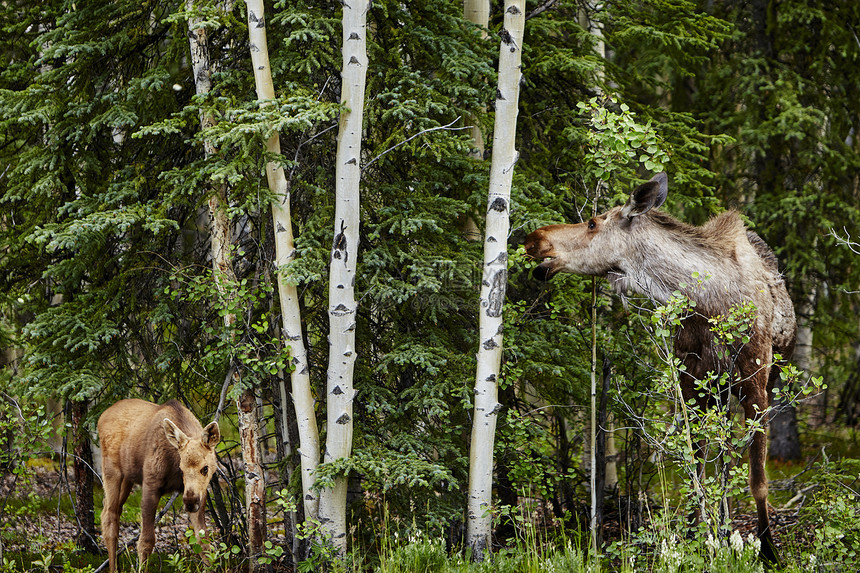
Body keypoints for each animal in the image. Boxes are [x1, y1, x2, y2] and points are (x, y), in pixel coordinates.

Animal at [98, 398, 222, 572]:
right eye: (181, 468)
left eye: (205, 468)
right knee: (110, 516)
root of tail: (101, 417)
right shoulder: (151, 485)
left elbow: (203, 542)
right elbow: (146, 541)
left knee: (108, 511)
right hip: (111, 471)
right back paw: (113, 568)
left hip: (128, 478)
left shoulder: (200, 494)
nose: (190, 502)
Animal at [524, 171, 800, 564]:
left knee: (730, 457)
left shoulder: (755, 383)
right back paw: (722, 526)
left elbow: (758, 481)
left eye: (592, 223)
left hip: (762, 379)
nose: (534, 239)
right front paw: (700, 537)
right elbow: (696, 467)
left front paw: (768, 549)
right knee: (721, 454)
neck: (705, 302)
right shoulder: (691, 381)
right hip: (717, 392)